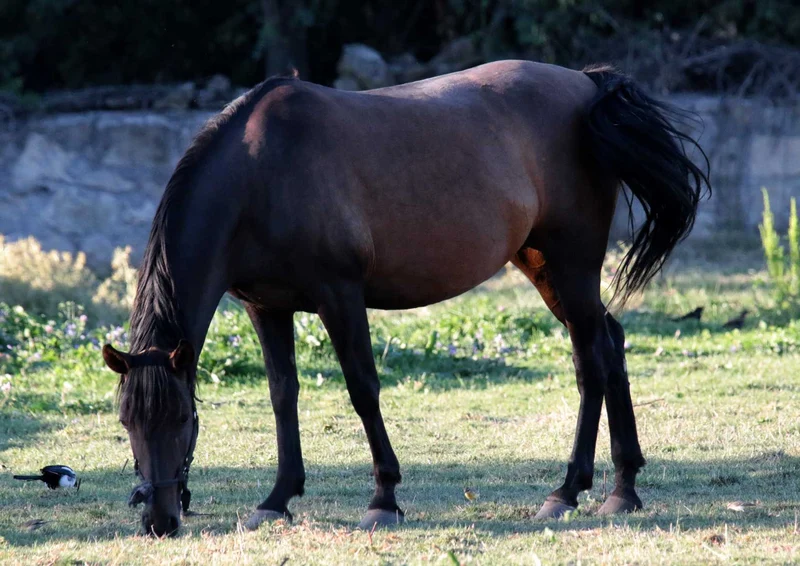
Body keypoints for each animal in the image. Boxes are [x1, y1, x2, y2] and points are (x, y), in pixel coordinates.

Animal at [101, 59, 709, 536]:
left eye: (183, 419)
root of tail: (586, 84)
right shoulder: (266, 307)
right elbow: (282, 394)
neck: (261, 173)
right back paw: (618, 489)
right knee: (611, 342)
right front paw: (276, 500)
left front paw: (383, 499)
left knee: (590, 362)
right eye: (127, 422)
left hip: (572, 264)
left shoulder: (340, 296)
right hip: (542, 265)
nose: (159, 521)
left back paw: (572, 491)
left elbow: (363, 390)